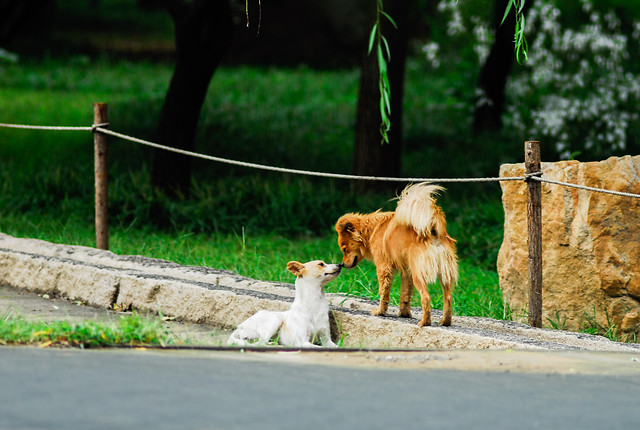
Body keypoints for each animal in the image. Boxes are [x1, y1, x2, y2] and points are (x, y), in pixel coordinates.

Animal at [338, 181, 458, 326]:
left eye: (344, 249)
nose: (342, 264)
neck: (371, 230)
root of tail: (433, 229)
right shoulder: (406, 271)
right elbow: (405, 295)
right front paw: (404, 314)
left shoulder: (383, 267)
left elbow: (383, 292)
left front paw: (380, 311)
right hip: (444, 272)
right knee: (448, 297)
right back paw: (445, 321)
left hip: (419, 273)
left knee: (426, 297)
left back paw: (425, 322)